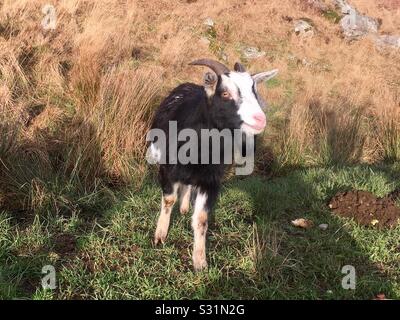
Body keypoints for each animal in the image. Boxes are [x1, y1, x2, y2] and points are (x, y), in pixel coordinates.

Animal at [148, 59, 276, 270]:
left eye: (254, 90)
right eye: (225, 93)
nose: (260, 120)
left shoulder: (210, 181)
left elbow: (201, 220)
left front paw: (200, 261)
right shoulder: (167, 170)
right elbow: (168, 200)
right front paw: (160, 236)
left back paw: (185, 208)